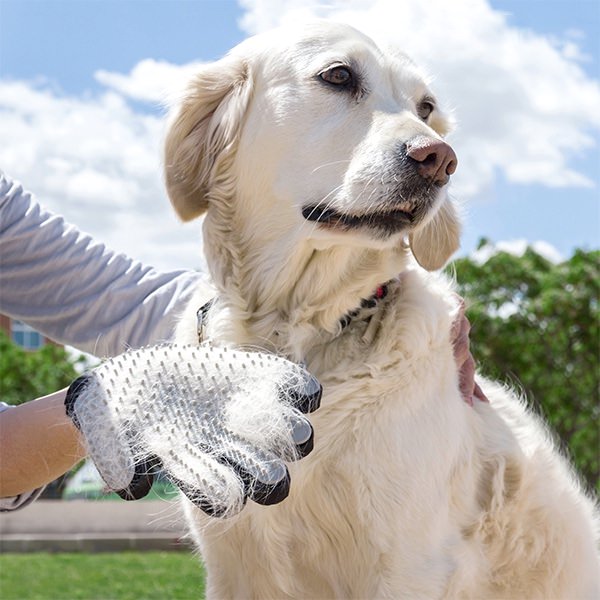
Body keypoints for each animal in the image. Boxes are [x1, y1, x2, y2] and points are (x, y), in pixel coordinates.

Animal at [163, 21, 596, 596]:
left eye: (426, 107)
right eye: (338, 76)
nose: (440, 159)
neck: (295, 329)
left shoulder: (408, 563)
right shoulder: (233, 564)